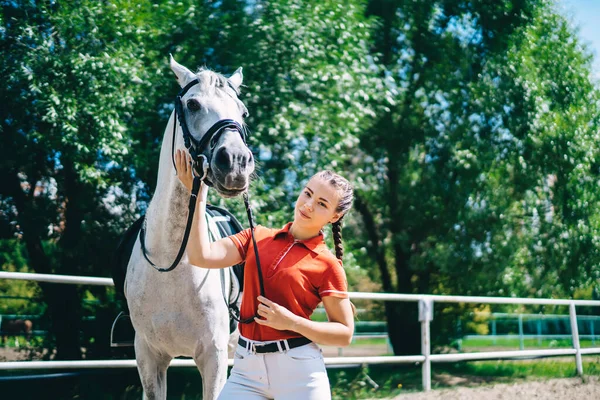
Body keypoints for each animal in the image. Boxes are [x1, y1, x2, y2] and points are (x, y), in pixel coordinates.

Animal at [125, 57, 256, 400]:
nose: (236, 162)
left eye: (243, 112)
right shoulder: (149, 357)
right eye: (193, 104)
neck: (174, 259)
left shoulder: (214, 357)